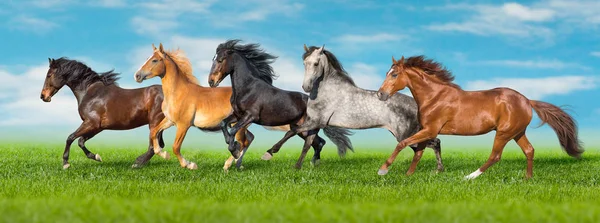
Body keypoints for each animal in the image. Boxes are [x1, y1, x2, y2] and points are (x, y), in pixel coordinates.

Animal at [209, 39, 354, 168]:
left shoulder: (251, 116)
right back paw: (313, 162)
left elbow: (233, 129)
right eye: (213, 59)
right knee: (318, 142)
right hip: (301, 127)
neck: (248, 88)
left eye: (220, 60)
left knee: (305, 139)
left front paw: (234, 150)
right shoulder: (237, 115)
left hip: (307, 126)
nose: (211, 81)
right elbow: (223, 124)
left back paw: (272, 154)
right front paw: (233, 148)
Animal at [378, 55, 584, 179]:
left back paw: (469, 177)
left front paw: (383, 169)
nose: (381, 94)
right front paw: (408, 175)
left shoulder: (431, 129)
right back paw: (527, 178)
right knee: (529, 150)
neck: (434, 96)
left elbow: (402, 144)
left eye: (395, 74)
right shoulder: (427, 130)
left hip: (503, 133)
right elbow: (418, 152)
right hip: (517, 132)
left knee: (495, 156)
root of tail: (527, 101)